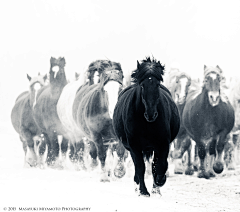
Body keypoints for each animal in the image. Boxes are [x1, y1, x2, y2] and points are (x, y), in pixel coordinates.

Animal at [113, 56, 180, 197]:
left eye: (157, 84)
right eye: (142, 85)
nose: (151, 114)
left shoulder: (163, 143)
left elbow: (161, 165)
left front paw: (159, 181)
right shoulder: (134, 145)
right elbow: (140, 167)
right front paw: (143, 191)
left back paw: (156, 188)